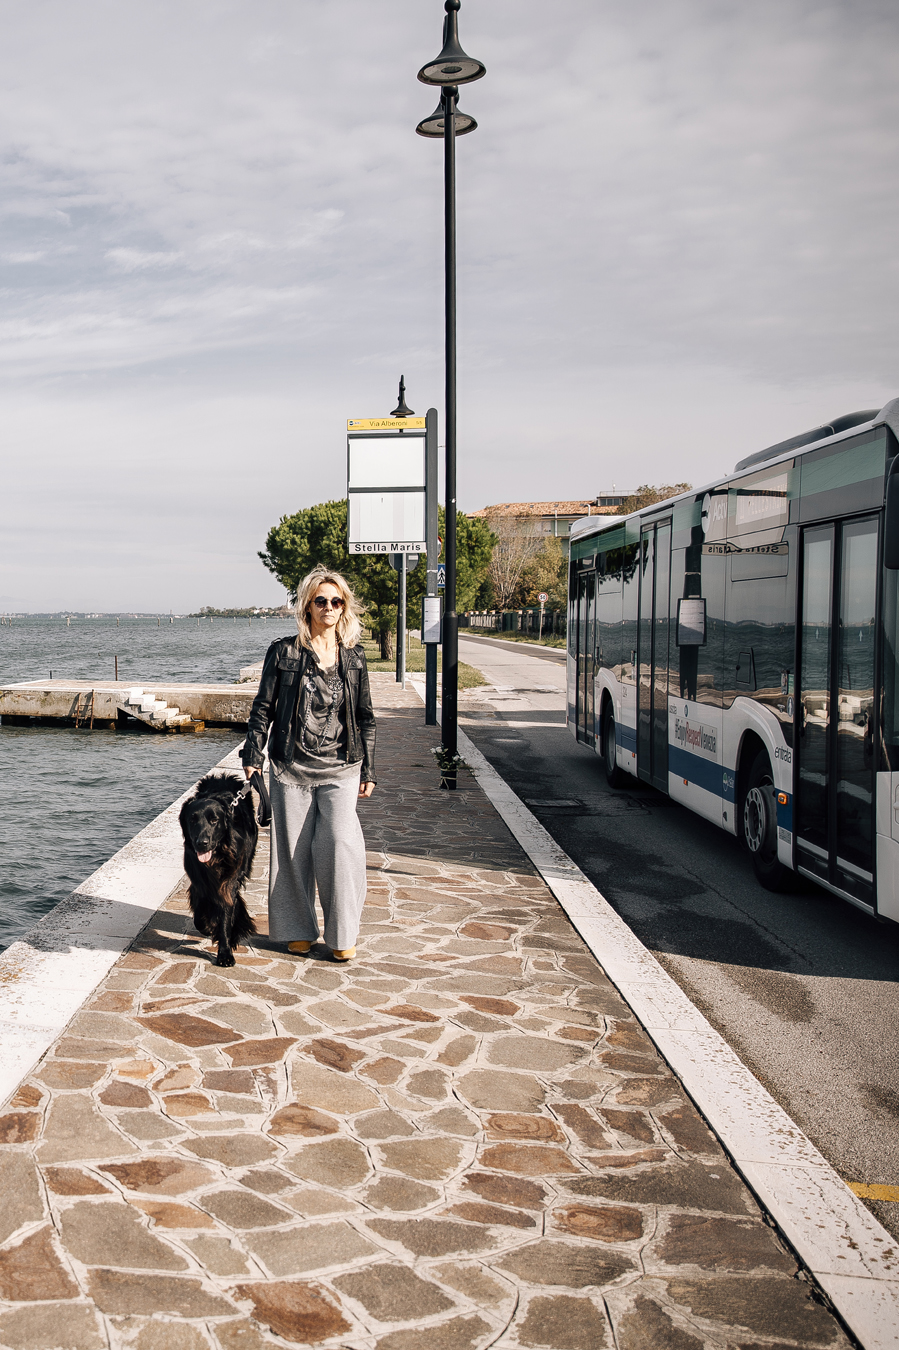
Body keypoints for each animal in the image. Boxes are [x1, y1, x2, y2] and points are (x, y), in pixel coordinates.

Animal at [178, 777, 255, 966]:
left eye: (214, 820)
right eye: (192, 820)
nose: (202, 843)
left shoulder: (228, 884)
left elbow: (225, 917)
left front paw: (225, 953)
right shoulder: (199, 881)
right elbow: (199, 914)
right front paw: (208, 926)